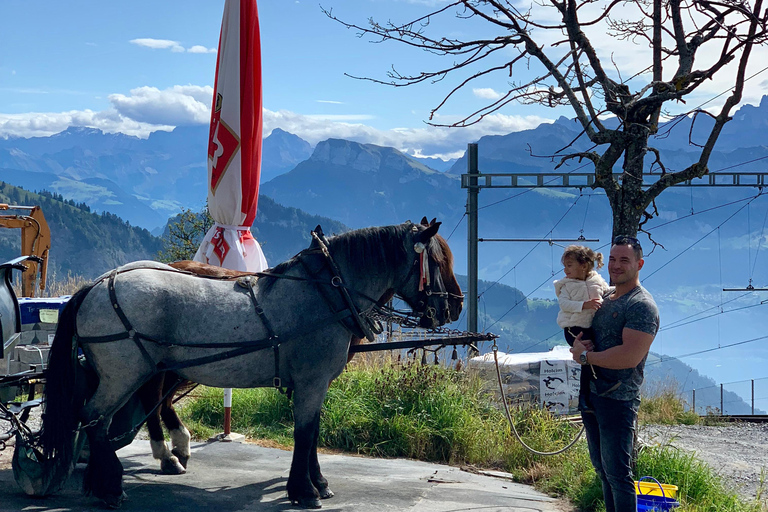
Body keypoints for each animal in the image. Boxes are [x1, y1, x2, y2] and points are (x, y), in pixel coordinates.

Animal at [39, 221, 456, 508]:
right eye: (436, 261)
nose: (454, 306)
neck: (326, 294)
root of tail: (96, 285)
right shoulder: (312, 380)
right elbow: (305, 433)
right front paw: (304, 490)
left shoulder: (317, 382)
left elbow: (314, 432)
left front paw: (317, 483)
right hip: (122, 373)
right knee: (95, 418)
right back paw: (111, 485)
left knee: (115, 415)